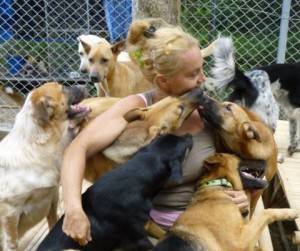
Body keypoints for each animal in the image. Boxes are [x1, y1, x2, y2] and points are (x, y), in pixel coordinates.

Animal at [0, 81, 89, 250]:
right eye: (62, 88)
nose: (85, 84)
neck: (35, 147)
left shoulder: (52, 195)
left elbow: (53, 223)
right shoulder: (9, 213)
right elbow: (11, 244)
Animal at [154, 153, 298, 251]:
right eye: (239, 156)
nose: (267, 159)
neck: (218, 184)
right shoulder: (240, 242)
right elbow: (266, 213)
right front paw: (290, 212)